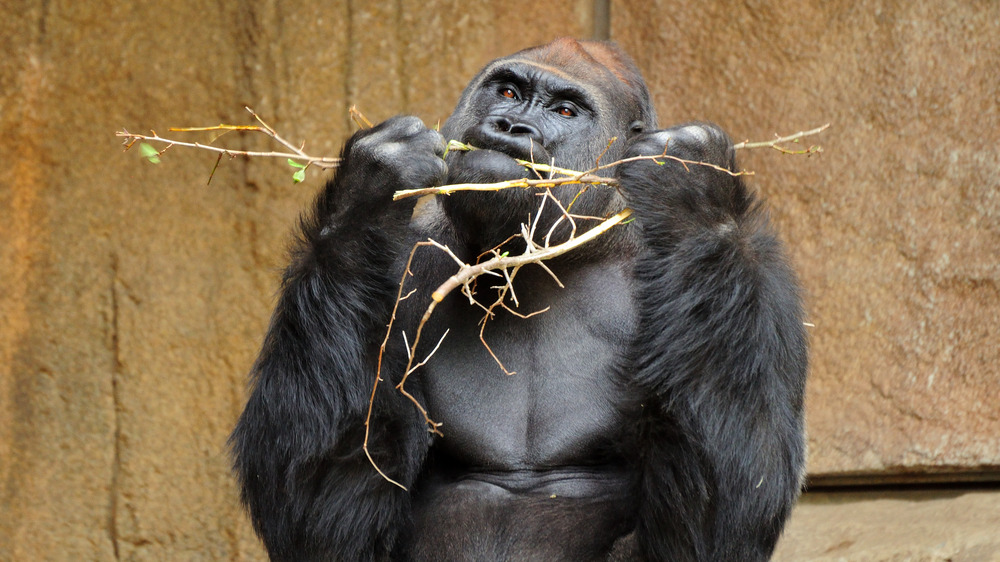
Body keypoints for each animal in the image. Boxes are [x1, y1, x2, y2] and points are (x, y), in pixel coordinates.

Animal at [230, 37, 808, 556]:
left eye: (565, 110)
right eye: (508, 92)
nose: (511, 127)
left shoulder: (760, 278)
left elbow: (732, 506)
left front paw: (696, 193)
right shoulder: (410, 263)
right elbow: (326, 516)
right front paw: (367, 193)